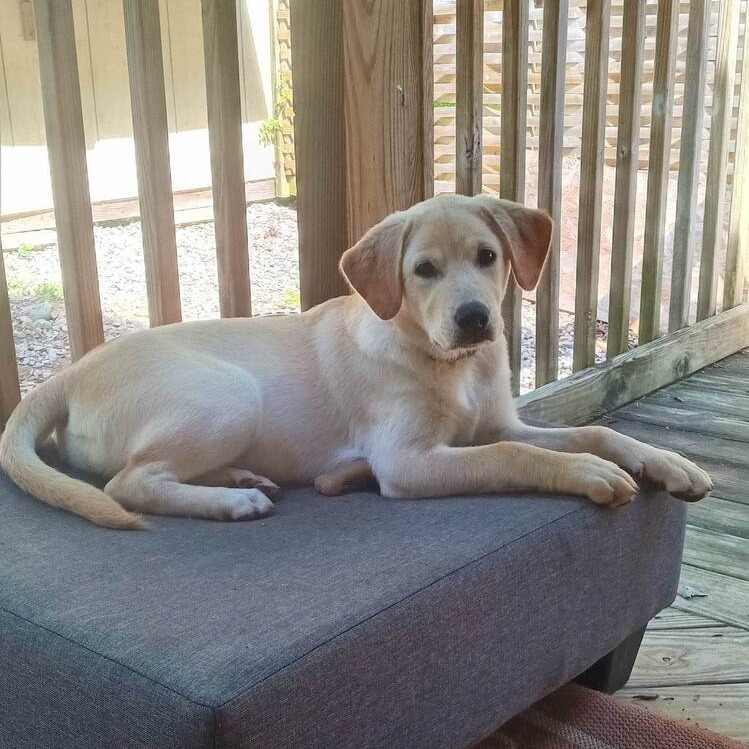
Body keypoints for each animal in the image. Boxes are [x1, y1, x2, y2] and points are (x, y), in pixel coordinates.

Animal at [0, 196, 712, 528]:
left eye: (488, 257)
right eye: (423, 271)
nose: (474, 319)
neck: (450, 365)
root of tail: (70, 372)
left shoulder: (495, 423)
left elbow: (589, 431)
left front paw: (662, 461)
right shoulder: (406, 461)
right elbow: (518, 456)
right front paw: (586, 472)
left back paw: (238, 477)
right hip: (226, 396)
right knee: (126, 484)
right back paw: (232, 501)